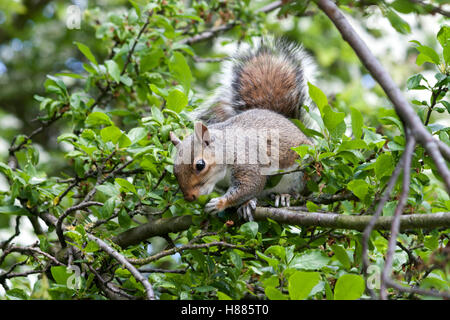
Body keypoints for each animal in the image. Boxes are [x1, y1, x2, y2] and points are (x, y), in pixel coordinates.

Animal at [171, 37, 314, 221]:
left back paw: (285, 196)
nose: (190, 197)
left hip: (301, 172)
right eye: (174, 170)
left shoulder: (247, 160)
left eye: (200, 165)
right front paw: (245, 203)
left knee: (299, 189)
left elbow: (250, 184)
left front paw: (220, 203)